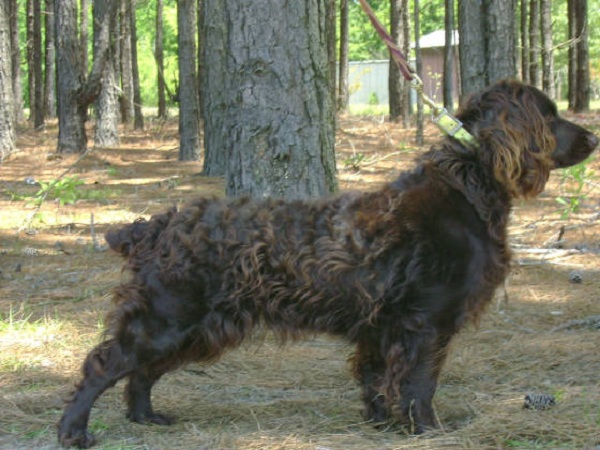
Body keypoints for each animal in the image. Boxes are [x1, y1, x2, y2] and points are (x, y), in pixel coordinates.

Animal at [57, 81, 596, 446]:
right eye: (549, 116)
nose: (593, 139)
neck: (467, 183)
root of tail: (157, 225)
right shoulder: (425, 322)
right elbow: (419, 384)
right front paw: (427, 430)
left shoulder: (383, 326)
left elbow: (377, 379)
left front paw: (382, 422)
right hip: (167, 316)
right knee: (104, 365)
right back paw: (74, 432)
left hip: (194, 327)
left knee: (141, 373)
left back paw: (146, 418)